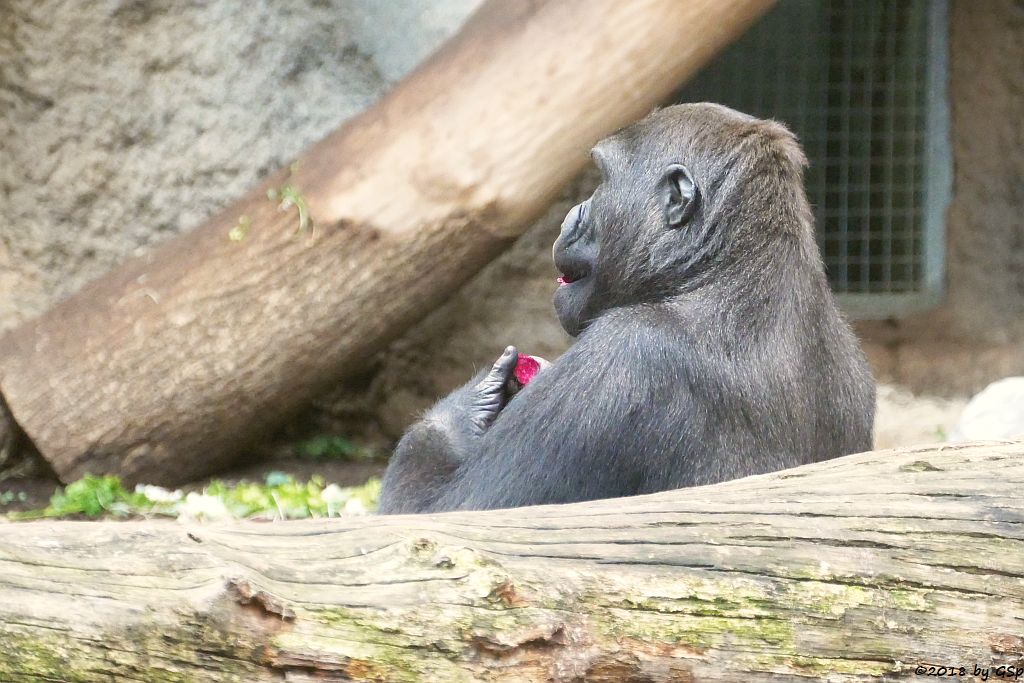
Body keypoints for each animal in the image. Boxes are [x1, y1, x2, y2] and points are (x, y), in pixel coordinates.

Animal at [380, 102, 876, 511]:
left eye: (601, 181)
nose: (572, 214)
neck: (729, 266)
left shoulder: (621, 357)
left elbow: (450, 512)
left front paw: (464, 411)